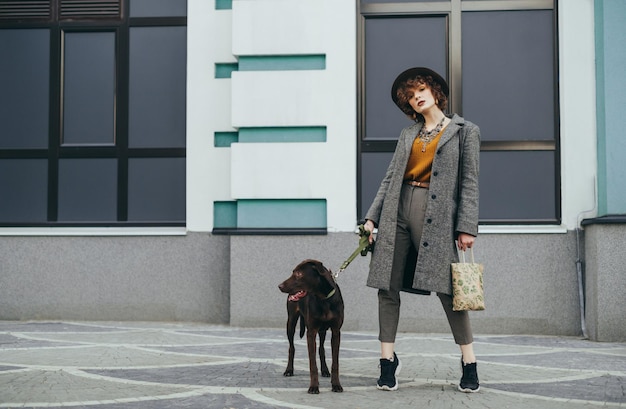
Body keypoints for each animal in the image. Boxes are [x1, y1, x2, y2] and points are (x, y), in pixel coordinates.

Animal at [280, 258, 346, 392]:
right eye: (293, 272)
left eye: (299, 274)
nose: (280, 286)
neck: (324, 299)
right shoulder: (311, 332)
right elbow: (312, 363)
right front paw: (314, 386)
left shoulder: (336, 331)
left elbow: (335, 362)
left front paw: (336, 385)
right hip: (291, 323)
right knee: (291, 347)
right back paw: (289, 370)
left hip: (323, 331)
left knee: (321, 349)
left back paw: (325, 370)